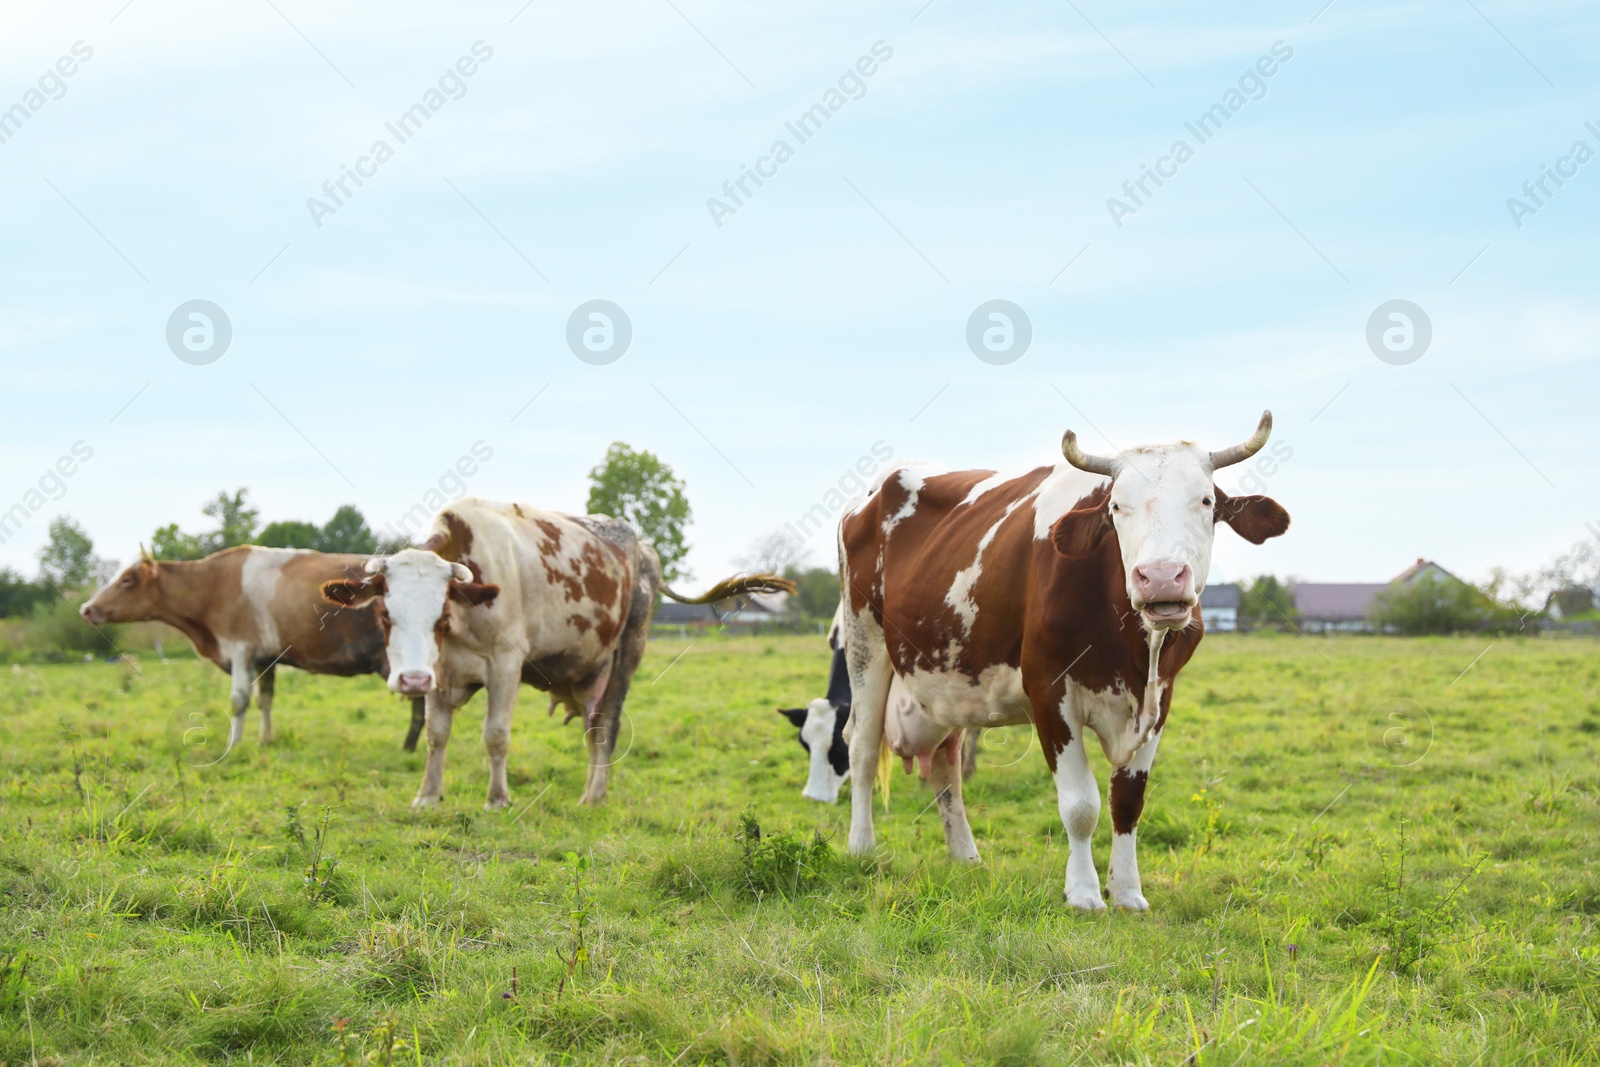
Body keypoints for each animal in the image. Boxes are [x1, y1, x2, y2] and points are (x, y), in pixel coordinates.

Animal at [79, 550, 425, 751]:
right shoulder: (265, 658)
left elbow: (239, 700)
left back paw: (409, 745)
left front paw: (234, 743)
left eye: (127, 580)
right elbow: (265, 699)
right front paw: (265, 739)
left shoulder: (240, 649)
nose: (87, 608)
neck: (213, 586)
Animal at [321, 499, 796, 809]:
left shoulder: (506, 666)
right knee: (593, 726)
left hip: (629, 651)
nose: (411, 681)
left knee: (607, 726)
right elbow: (437, 736)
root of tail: (643, 547)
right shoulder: (440, 671)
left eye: (440, 614)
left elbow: (495, 735)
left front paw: (498, 798)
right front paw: (427, 795)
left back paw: (595, 795)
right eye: (385, 613)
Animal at [838, 412, 1286, 915]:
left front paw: (1127, 892)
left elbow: (1128, 801)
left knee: (945, 763)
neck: (1132, 654)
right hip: (863, 641)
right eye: (1117, 507)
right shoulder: (1049, 691)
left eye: (1206, 500)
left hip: (946, 679)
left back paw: (965, 857)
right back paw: (862, 848)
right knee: (862, 745)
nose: (1161, 578)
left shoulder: (1162, 696)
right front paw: (1084, 892)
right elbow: (1081, 806)